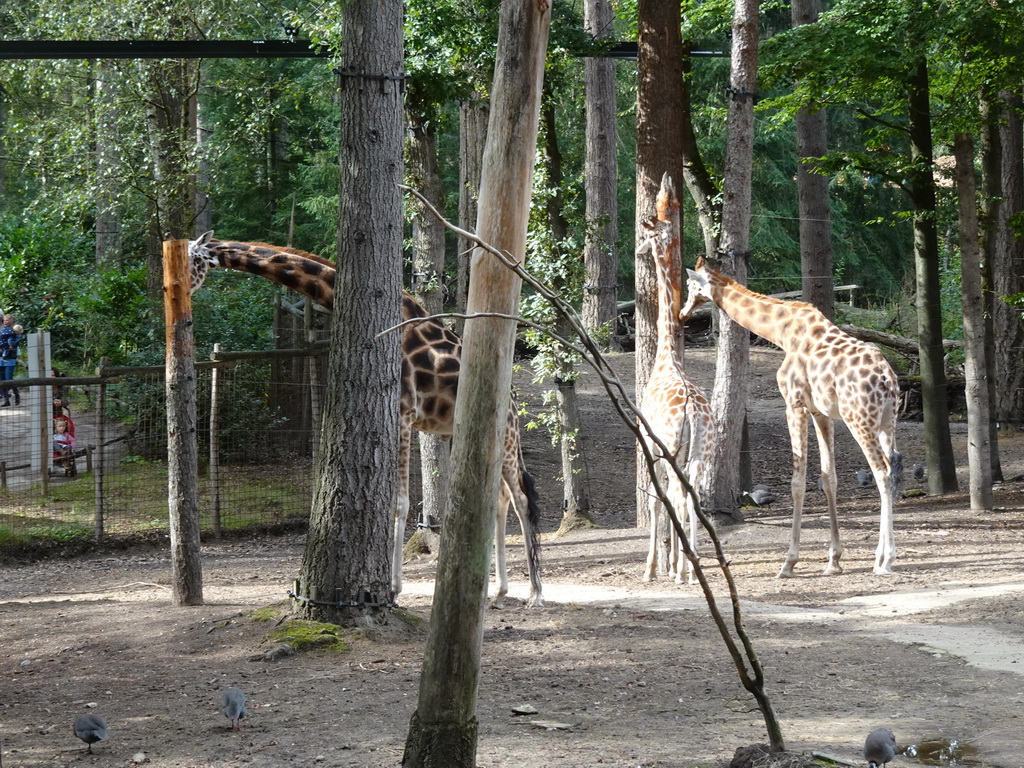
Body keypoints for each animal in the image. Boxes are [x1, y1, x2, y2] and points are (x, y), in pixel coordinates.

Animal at [185, 230, 544, 606]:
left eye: (190, 259)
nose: (175, 290)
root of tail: (514, 400)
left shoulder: (403, 413)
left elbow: (399, 503)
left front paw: (394, 588)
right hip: (482, 435)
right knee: (502, 499)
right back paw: (499, 590)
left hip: (507, 438)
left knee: (521, 499)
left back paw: (535, 592)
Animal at [684, 259, 901, 577]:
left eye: (690, 286)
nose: (683, 311)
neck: (781, 331)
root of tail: (887, 379)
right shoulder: (821, 412)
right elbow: (828, 477)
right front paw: (833, 560)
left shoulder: (794, 403)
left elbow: (797, 482)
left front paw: (789, 562)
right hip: (886, 422)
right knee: (892, 469)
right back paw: (880, 557)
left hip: (859, 419)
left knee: (882, 472)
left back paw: (885, 560)